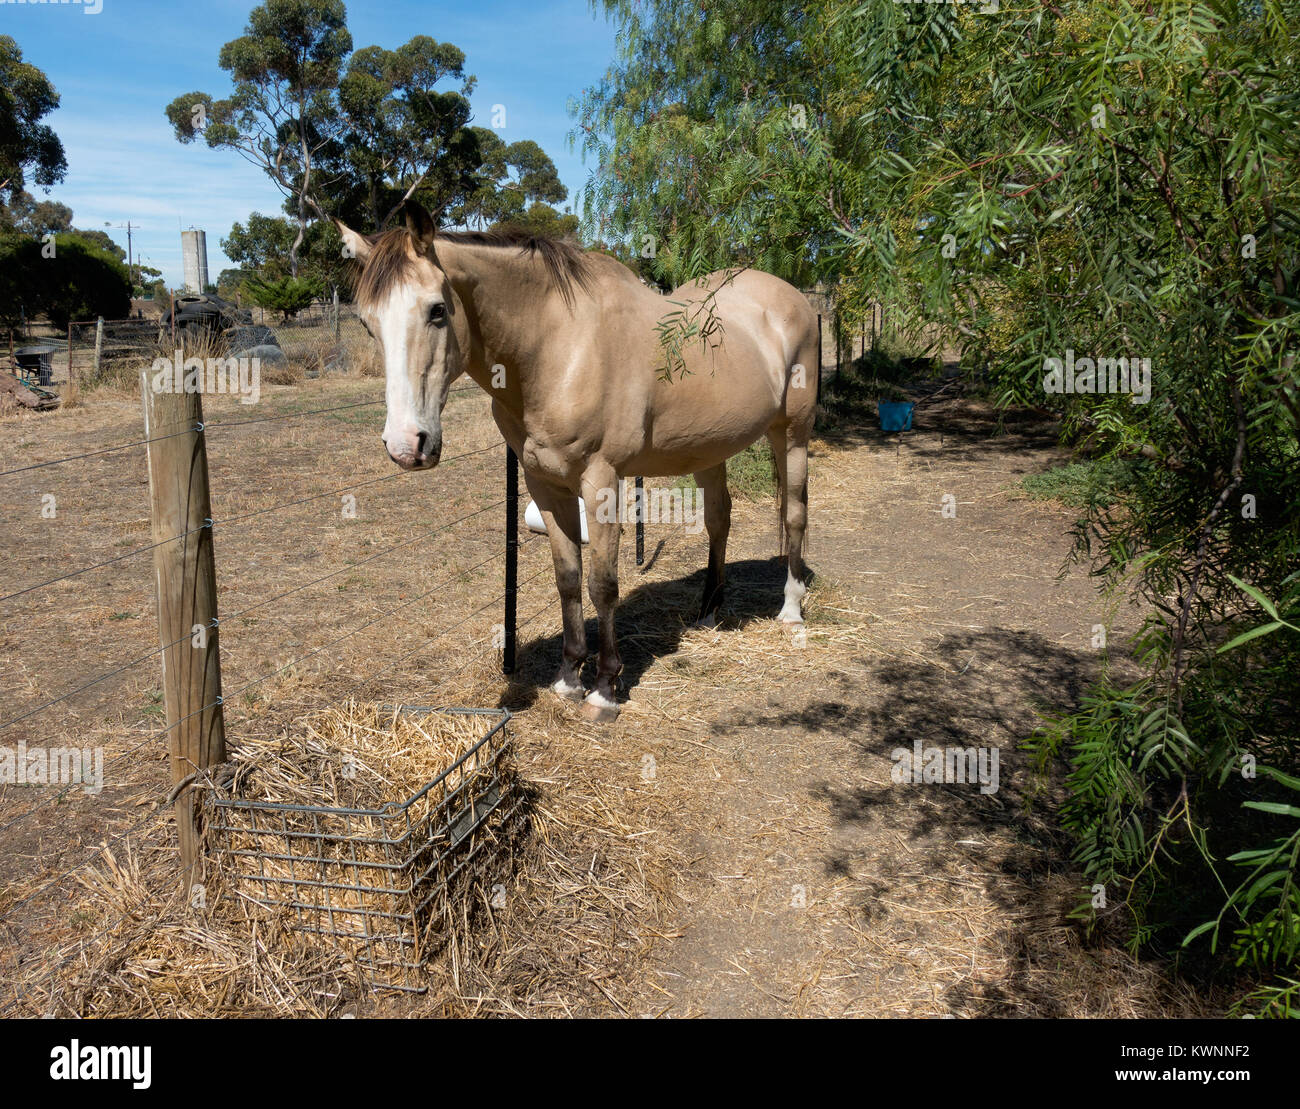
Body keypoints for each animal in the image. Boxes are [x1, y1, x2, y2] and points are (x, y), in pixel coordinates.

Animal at [340, 200, 816, 722]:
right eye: (367, 323)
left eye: (437, 310)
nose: (407, 444)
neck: (557, 348)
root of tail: (794, 298)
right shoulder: (545, 485)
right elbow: (567, 579)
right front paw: (569, 677)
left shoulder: (601, 481)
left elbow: (602, 584)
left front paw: (605, 688)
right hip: (711, 448)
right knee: (718, 520)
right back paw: (709, 611)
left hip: (792, 434)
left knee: (795, 516)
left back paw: (791, 609)